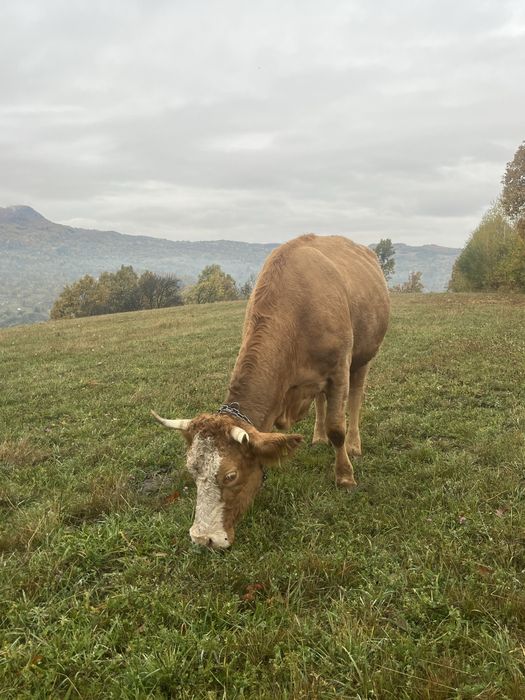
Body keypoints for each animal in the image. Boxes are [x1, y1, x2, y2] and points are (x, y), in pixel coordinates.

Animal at [152, 234, 390, 549]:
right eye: (192, 471)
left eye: (230, 475)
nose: (204, 538)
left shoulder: (339, 369)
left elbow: (337, 426)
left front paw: (345, 477)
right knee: (321, 401)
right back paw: (318, 437)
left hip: (364, 357)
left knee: (355, 400)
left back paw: (353, 445)